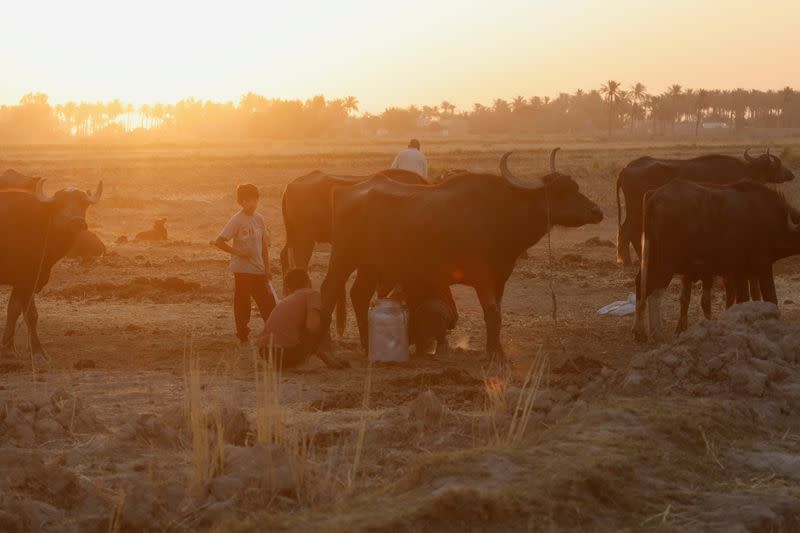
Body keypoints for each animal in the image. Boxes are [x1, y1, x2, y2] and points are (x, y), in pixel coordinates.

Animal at [0, 179, 102, 358]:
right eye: (60, 204)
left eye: (83, 203)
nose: (77, 222)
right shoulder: (27, 280)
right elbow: (31, 315)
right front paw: (38, 351)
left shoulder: (25, 282)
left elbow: (13, 310)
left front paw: (8, 348)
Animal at [322, 148, 604, 360]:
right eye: (561, 191)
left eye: (576, 186)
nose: (597, 211)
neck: (501, 213)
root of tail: (345, 191)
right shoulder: (481, 277)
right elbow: (491, 312)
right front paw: (495, 354)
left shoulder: (500, 278)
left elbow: (497, 313)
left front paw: (495, 348)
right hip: (343, 257)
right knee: (329, 289)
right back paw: (327, 348)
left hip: (369, 265)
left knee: (358, 294)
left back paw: (367, 344)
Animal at [636, 180, 796, 340]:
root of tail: (654, 195)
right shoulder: (761, 265)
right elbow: (769, 296)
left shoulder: (739, 271)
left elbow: (743, 297)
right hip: (666, 263)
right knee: (654, 292)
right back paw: (655, 333)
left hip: (650, 259)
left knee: (641, 285)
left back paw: (640, 332)